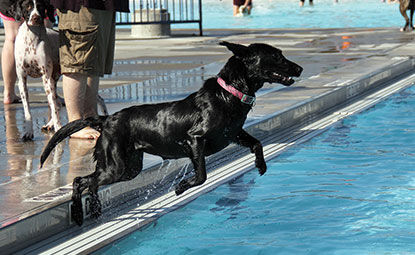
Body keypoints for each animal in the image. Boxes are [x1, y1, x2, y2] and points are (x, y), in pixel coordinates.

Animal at [11, 0, 108, 140]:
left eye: (40, 6)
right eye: (27, 6)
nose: (36, 18)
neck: (31, 39)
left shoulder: (45, 78)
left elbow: (53, 107)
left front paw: (58, 127)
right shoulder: (22, 80)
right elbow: (28, 111)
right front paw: (29, 132)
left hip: (57, 79)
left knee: (96, 99)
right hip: (53, 80)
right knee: (56, 103)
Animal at [40, 41, 304, 225]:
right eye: (277, 56)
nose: (300, 68)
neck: (229, 93)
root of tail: (106, 119)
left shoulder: (234, 133)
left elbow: (257, 143)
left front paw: (261, 165)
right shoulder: (195, 140)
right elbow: (202, 175)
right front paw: (181, 186)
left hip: (129, 167)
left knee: (91, 183)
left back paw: (94, 210)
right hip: (116, 166)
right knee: (80, 181)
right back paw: (78, 215)